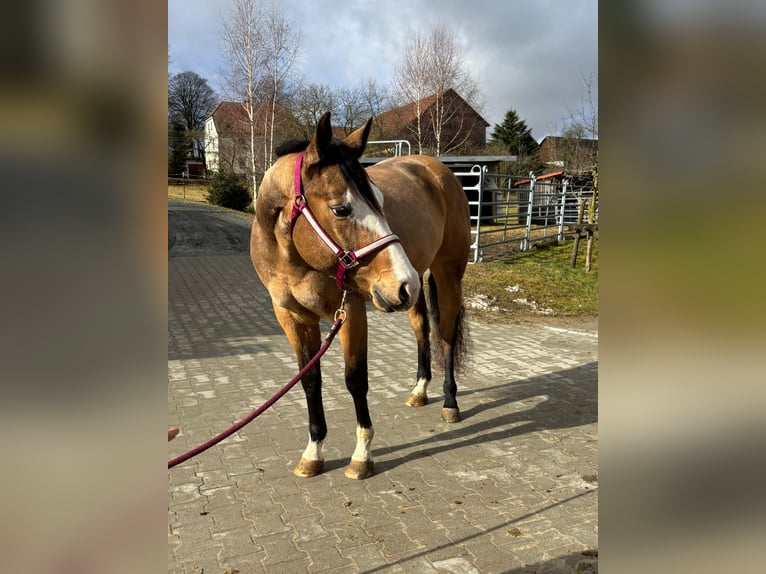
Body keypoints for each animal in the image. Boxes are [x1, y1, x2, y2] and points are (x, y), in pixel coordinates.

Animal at [250, 112, 470, 479]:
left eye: (381, 202)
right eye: (341, 209)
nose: (404, 282)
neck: (295, 260)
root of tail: (437, 171)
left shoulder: (350, 311)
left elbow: (355, 380)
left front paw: (362, 455)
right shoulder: (292, 318)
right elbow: (310, 381)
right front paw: (313, 452)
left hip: (445, 275)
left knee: (447, 335)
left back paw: (450, 403)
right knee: (422, 329)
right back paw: (420, 390)